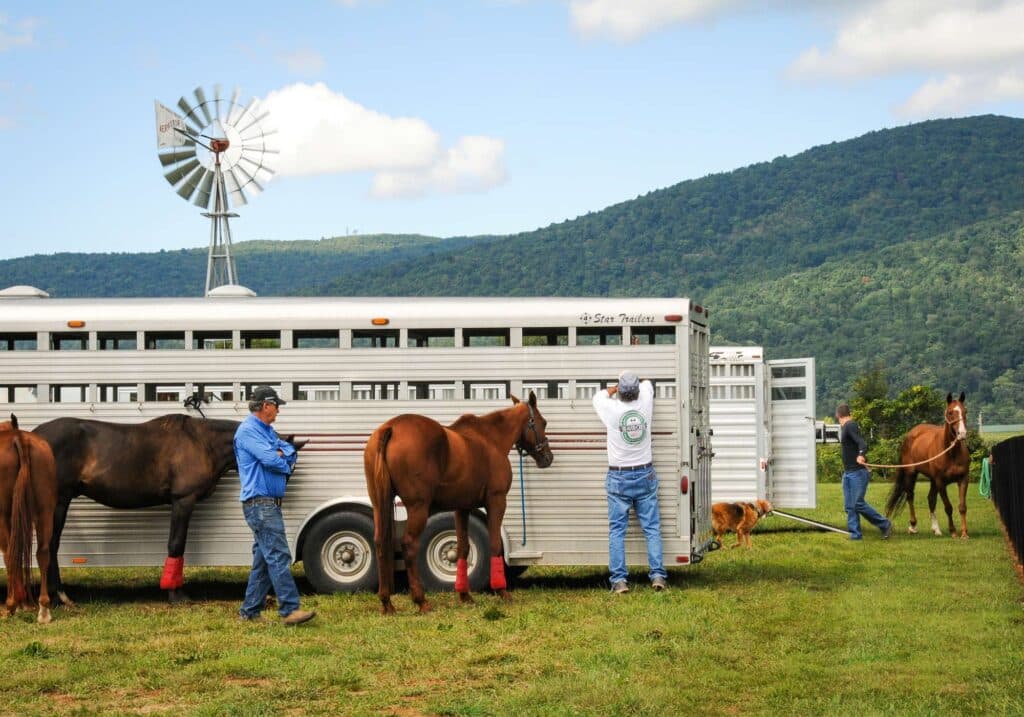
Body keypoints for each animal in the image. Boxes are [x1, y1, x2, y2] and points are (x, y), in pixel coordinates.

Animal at [0, 413, 57, 622]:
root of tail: (20, 439)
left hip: (4, 514)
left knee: (10, 553)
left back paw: (10, 605)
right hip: (45, 511)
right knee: (43, 552)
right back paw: (43, 609)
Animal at [36, 411, 305, 602]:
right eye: (280, 463)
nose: (279, 501)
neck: (202, 442)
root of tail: (35, 435)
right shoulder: (183, 500)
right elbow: (176, 544)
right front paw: (176, 594)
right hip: (58, 501)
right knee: (50, 544)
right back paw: (59, 595)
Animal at [366, 391, 552, 614]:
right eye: (543, 422)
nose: (548, 458)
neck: (491, 439)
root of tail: (391, 427)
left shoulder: (462, 508)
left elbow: (463, 547)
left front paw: (465, 595)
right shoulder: (496, 501)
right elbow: (495, 545)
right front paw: (501, 591)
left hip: (379, 505)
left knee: (380, 543)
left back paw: (387, 602)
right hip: (418, 507)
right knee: (409, 545)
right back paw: (421, 600)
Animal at [884, 391, 970, 536]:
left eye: (965, 411)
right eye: (950, 412)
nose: (962, 434)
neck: (951, 453)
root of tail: (911, 433)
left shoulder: (963, 479)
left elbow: (962, 507)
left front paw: (964, 533)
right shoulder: (940, 482)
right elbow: (948, 507)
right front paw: (953, 531)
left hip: (932, 479)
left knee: (931, 499)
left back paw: (936, 529)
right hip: (911, 473)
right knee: (910, 496)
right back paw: (913, 526)